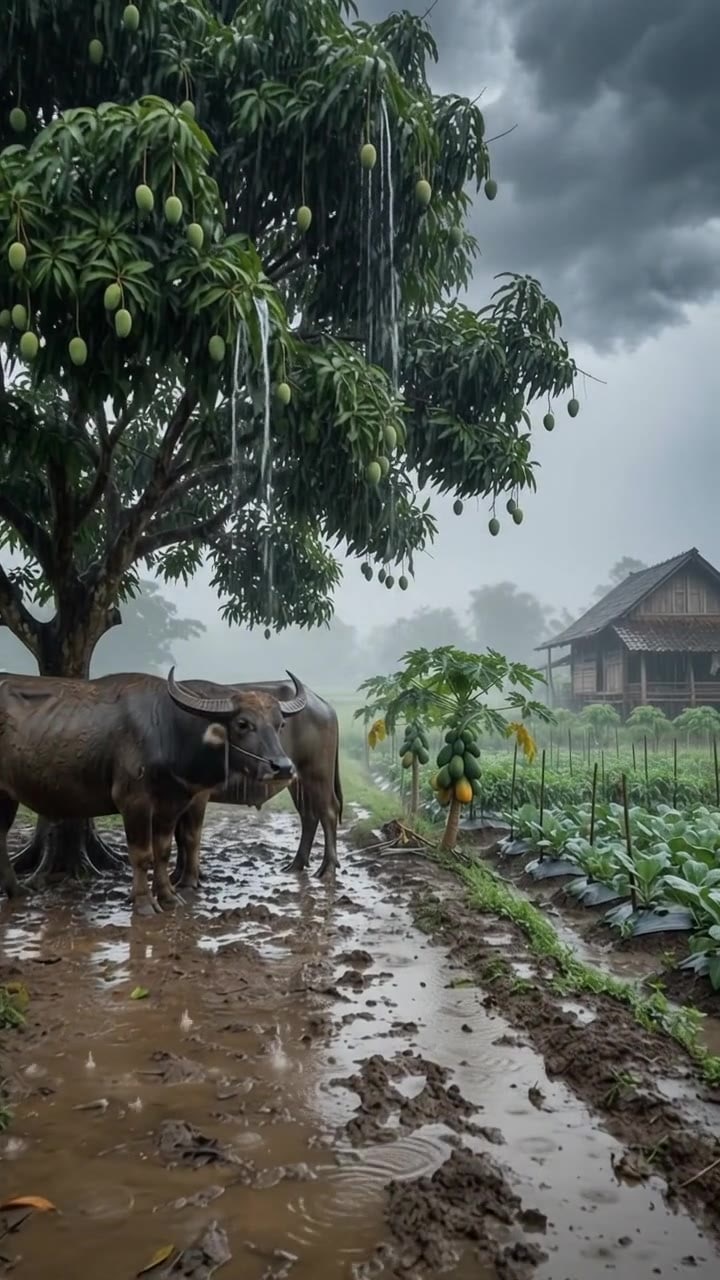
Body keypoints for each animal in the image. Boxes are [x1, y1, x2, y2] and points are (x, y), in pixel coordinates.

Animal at [0, 667, 305, 914]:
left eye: (280, 724)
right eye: (243, 723)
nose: (283, 767)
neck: (168, 732)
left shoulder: (171, 804)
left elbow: (163, 850)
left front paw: (168, 897)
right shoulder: (133, 802)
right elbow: (141, 854)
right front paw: (144, 902)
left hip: (7, 797)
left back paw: (16, 891)